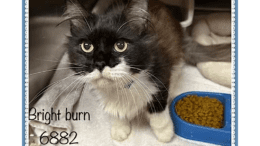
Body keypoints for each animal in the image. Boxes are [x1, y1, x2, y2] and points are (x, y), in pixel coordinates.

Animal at [61, 0, 232, 142]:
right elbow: (115, 112)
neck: (121, 86)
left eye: (120, 45)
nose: (100, 63)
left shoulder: (161, 76)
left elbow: (157, 110)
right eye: (87, 46)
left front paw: (165, 134)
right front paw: (120, 129)